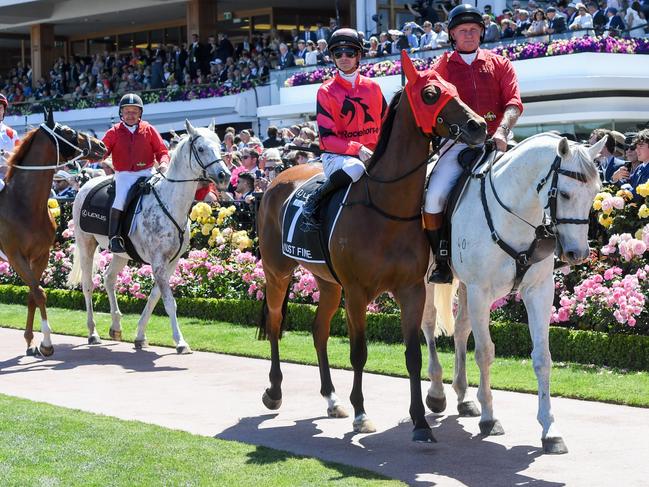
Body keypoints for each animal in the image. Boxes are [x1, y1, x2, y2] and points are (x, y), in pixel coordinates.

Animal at [0, 108, 107, 356]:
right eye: (67, 131)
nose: (101, 144)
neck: (23, 205)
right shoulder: (15, 256)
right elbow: (39, 292)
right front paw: (47, 343)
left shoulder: (40, 255)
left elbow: (33, 295)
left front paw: (31, 342)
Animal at [67, 120, 230, 352]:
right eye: (200, 149)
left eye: (219, 147)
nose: (224, 175)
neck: (169, 202)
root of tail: (85, 185)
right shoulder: (158, 261)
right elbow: (169, 302)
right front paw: (180, 341)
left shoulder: (171, 262)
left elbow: (155, 297)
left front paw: (140, 335)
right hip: (86, 245)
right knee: (88, 286)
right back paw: (93, 333)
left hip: (121, 253)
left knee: (109, 278)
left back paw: (116, 325)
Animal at [256, 51, 484, 444]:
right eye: (430, 94)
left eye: (454, 88)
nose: (479, 125)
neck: (386, 210)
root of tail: (278, 179)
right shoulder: (358, 292)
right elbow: (359, 352)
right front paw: (362, 415)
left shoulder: (410, 290)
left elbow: (412, 355)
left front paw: (421, 422)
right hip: (278, 272)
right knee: (273, 323)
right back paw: (274, 391)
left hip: (328, 284)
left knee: (318, 330)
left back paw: (332, 400)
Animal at [418, 132, 604, 454]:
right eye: (565, 194)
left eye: (594, 193)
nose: (577, 253)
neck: (515, 214)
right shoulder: (481, 292)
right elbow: (485, 352)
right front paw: (490, 418)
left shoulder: (539, 292)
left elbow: (542, 358)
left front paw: (549, 429)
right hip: (431, 279)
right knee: (429, 324)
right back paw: (437, 391)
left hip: (465, 287)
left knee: (461, 329)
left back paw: (463, 395)